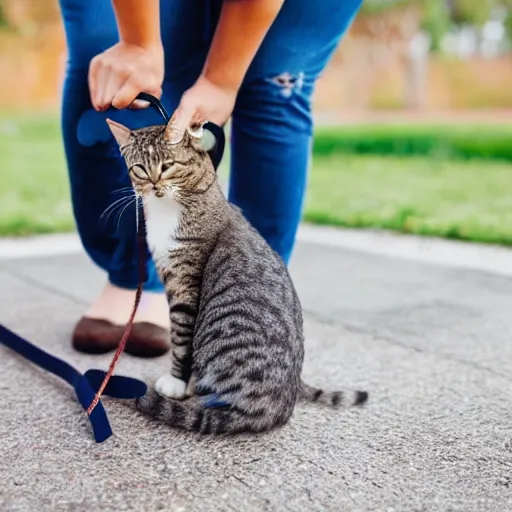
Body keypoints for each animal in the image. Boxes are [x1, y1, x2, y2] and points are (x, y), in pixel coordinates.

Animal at [107, 117, 368, 436]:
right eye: (141, 169)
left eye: (167, 165)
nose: (155, 184)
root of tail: (273, 410)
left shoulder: (184, 284)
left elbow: (180, 339)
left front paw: (177, 382)